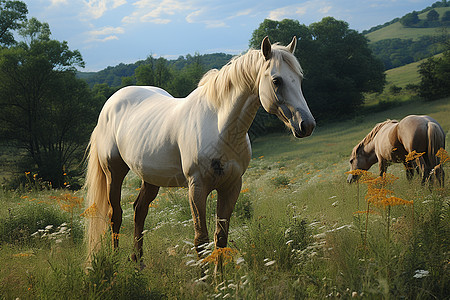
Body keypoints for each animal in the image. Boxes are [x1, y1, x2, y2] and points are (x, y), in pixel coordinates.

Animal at [84, 36, 316, 264]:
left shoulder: (231, 186)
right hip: (114, 172)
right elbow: (201, 240)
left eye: (299, 79)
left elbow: (220, 238)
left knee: (139, 210)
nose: (306, 125)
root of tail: (110, 104)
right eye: (277, 80)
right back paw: (116, 262)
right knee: (115, 215)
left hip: (150, 177)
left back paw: (138, 262)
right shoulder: (197, 187)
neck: (219, 125)